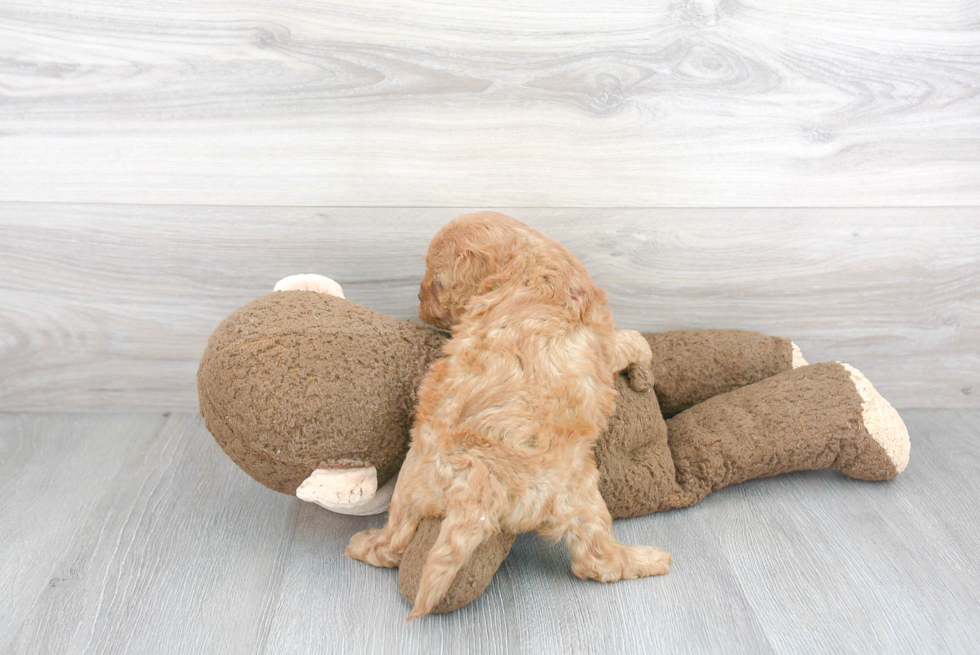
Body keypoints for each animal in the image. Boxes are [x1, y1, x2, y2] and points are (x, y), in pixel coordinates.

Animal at [342, 211, 668, 620]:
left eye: (437, 281)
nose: (418, 302)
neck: (524, 259)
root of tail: (479, 479)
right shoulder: (604, 343)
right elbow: (635, 340)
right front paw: (643, 360)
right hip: (578, 492)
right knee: (596, 561)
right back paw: (649, 559)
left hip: (411, 481)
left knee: (393, 542)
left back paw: (363, 544)